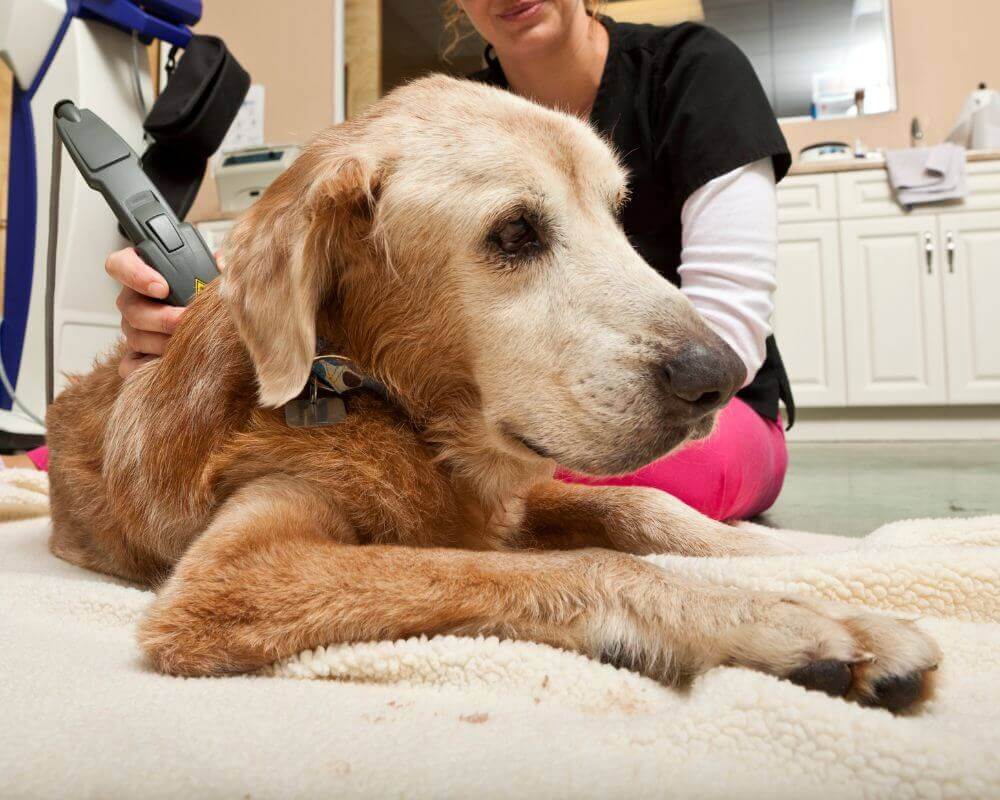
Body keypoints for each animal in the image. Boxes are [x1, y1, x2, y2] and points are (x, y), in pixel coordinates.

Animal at [45, 76, 936, 712]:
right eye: (514, 233)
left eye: (617, 212)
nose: (718, 377)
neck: (383, 400)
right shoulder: (229, 575)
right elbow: (573, 565)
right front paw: (795, 623)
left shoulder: (517, 495)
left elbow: (643, 507)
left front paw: (824, 562)